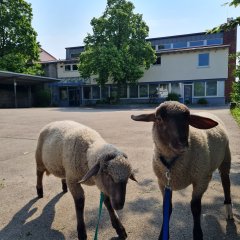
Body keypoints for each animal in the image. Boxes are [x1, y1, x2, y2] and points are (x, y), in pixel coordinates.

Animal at [131, 101, 232, 240]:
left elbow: (195, 207)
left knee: (226, 182)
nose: (182, 145)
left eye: (188, 119)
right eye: (159, 118)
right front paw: (162, 235)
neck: (172, 163)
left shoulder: (200, 180)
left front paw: (198, 234)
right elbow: (167, 208)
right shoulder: (163, 183)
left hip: (225, 158)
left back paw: (229, 210)